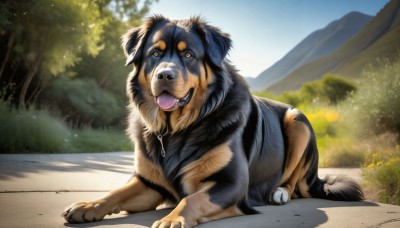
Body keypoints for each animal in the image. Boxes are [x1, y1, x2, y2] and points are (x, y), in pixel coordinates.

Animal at [61, 15, 364, 227]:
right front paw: (87, 205)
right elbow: (115, 193)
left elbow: (191, 199)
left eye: (188, 55)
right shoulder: (149, 183)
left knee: (296, 183)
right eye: (155, 54)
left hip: (297, 121)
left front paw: (172, 218)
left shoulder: (231, 183)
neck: (176, 130)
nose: (165, 75)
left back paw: (279, 193)